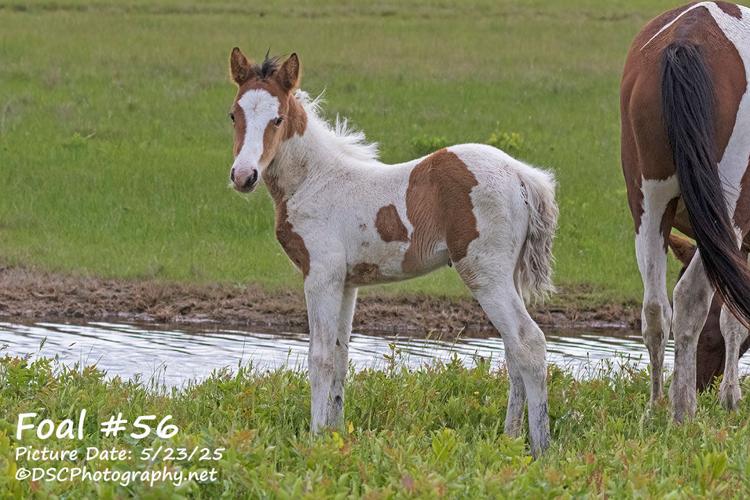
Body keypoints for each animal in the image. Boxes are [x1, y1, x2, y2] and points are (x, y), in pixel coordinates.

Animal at [225, 48, 559, 456]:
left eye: (278, 118)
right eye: (234, 114)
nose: (244, 176)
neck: (314, 180)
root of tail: (522, 175)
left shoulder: (321, 277)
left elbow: (320, 358)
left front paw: (316, 439)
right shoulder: (347, 283)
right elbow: (340, 356)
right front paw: (336, 434)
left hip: (485, 274)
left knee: (529, 343)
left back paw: (540, 448)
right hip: (505, 274)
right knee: (513, 350)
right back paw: (509, 440)